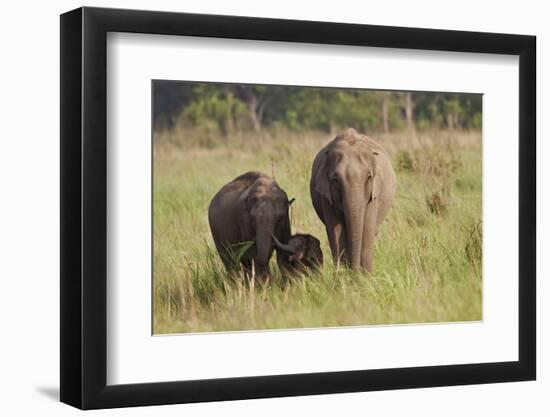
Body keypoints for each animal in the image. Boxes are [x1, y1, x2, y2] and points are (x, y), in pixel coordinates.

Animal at [310, 128, 396, 272]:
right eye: (335, 180)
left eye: (369, 177)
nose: (354, 272)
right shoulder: (326, 196)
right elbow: (336, 233)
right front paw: (343, 276)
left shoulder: (373, 196)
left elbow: (366, 230)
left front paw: (365, 277)